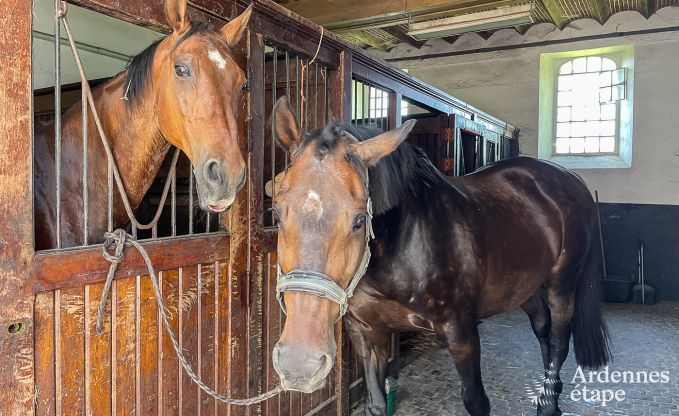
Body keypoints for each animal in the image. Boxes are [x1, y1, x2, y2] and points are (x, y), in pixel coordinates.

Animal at [266, 97, 612, 416]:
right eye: (277, 213)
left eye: (359, 220)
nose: (300, 363)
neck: (405, 247)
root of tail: (570, 177)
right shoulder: (366, 334)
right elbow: (376, 404)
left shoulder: (461, 334)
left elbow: (477, 402)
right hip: (525, 287)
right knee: (543, 332)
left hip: (562, 285)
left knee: (559, 340)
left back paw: (548, 405)